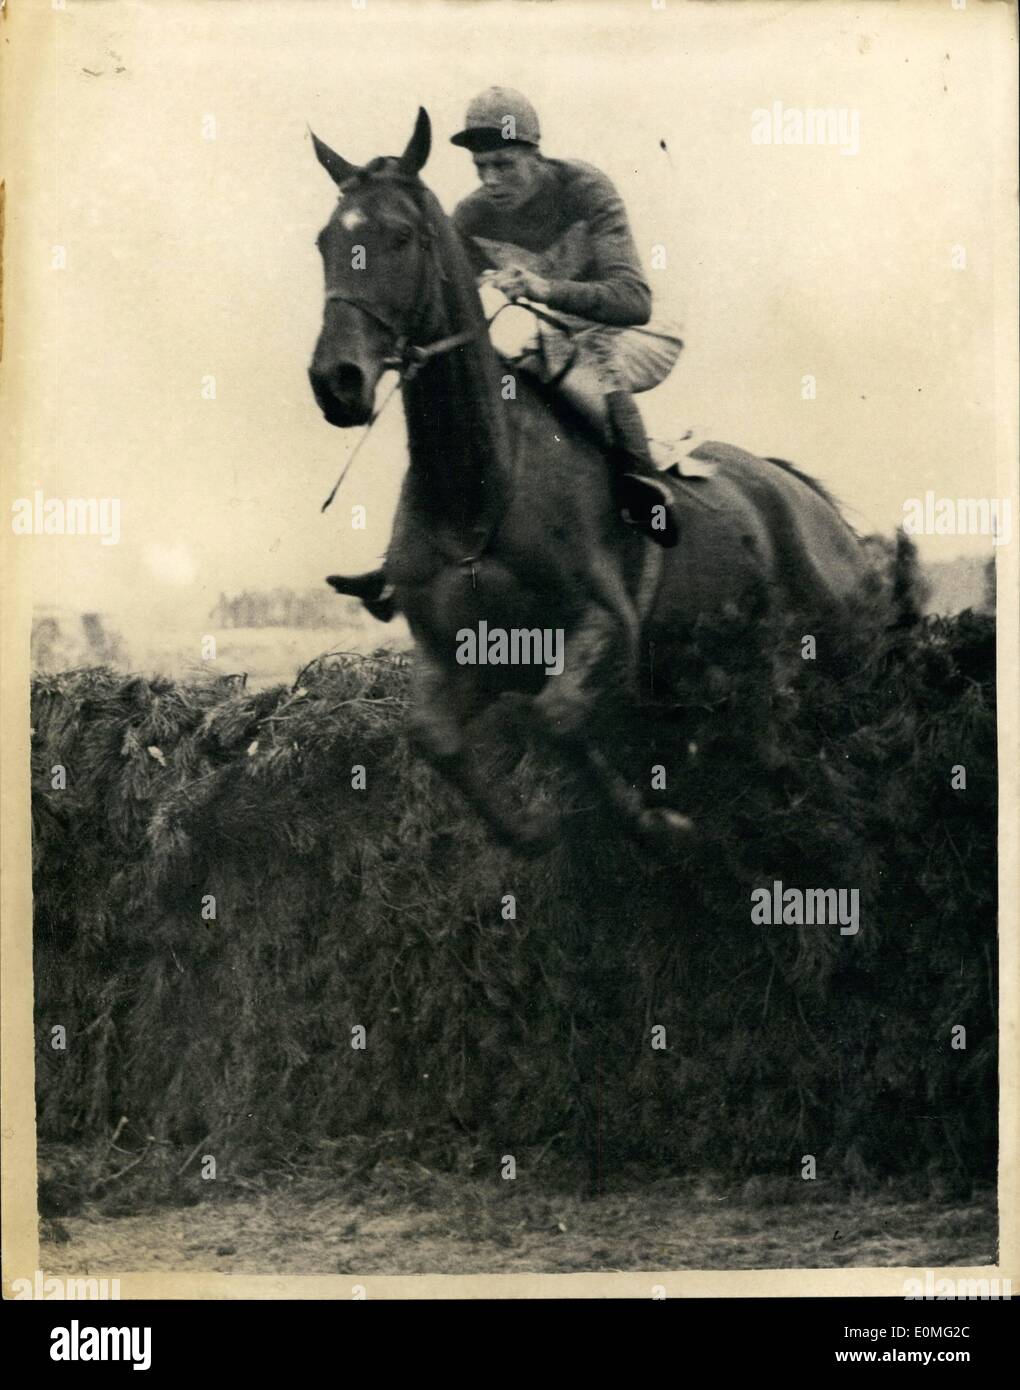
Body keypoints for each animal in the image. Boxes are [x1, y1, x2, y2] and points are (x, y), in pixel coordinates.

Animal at [307, 108, 872, 850]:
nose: (334, 382)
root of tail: (807, 498)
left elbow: (557, 716)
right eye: (324, 243)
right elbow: (437, 738)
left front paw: (655, 819)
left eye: (398, 237)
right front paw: (533, 828)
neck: (477, 494)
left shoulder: (607, 623)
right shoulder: (454, 651)